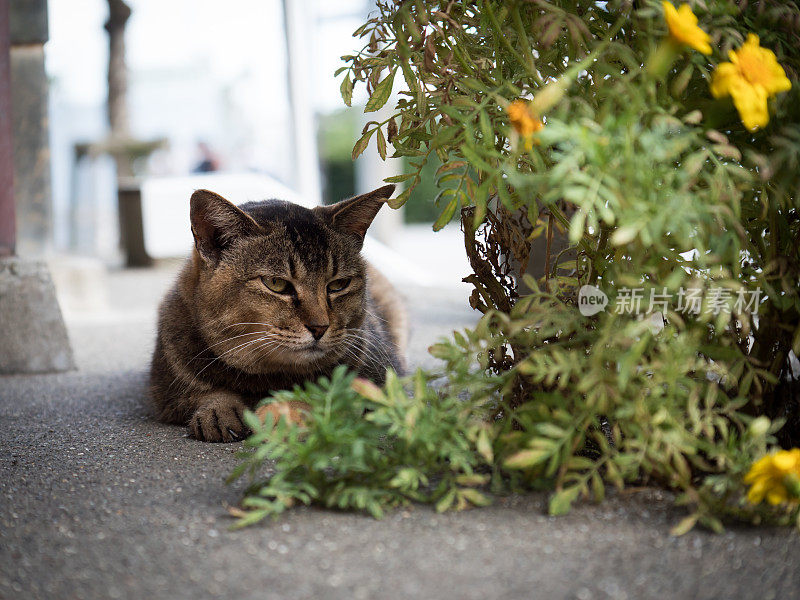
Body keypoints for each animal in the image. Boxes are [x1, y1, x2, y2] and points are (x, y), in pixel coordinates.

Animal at [148, 185, 406, 442]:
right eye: (276, 283)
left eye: (338, 284)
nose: (320, 327)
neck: (266, 378)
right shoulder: (166, 390)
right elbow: (206, 392)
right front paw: (219, 410)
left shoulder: (384, 382)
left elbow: (326, 395)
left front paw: (283, 412)